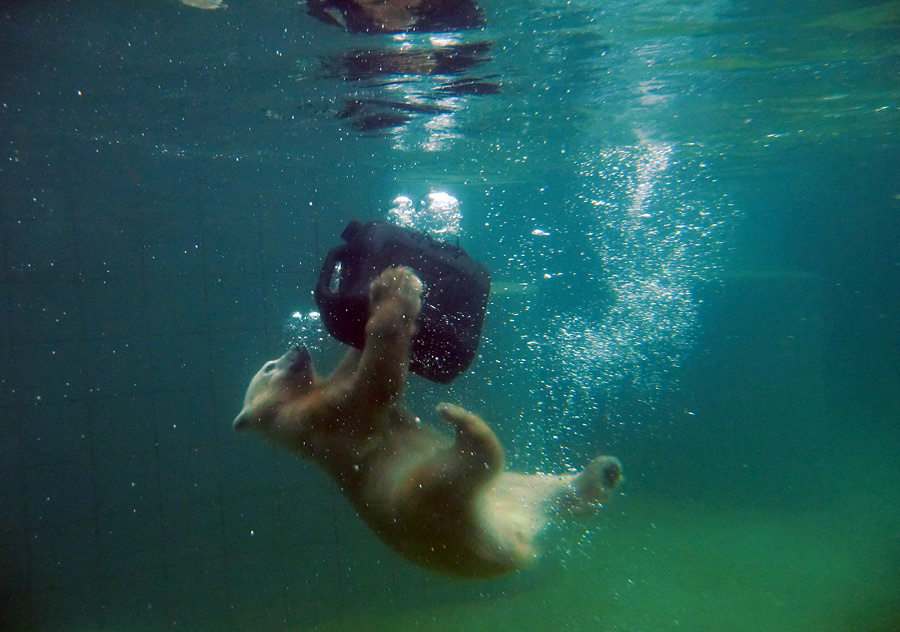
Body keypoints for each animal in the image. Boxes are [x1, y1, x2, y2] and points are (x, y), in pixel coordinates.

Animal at [236, 266, 624, 576]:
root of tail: (516, 539)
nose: (297, 347)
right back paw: (462, 422)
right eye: (269, 367)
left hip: (511, 489)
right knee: (464, 468)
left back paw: (601, 474)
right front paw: (394, 284)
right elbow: (375, 385)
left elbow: (359, 368)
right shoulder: (323, 416)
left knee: (547, 487)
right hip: (421, 497)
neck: (287, 416)